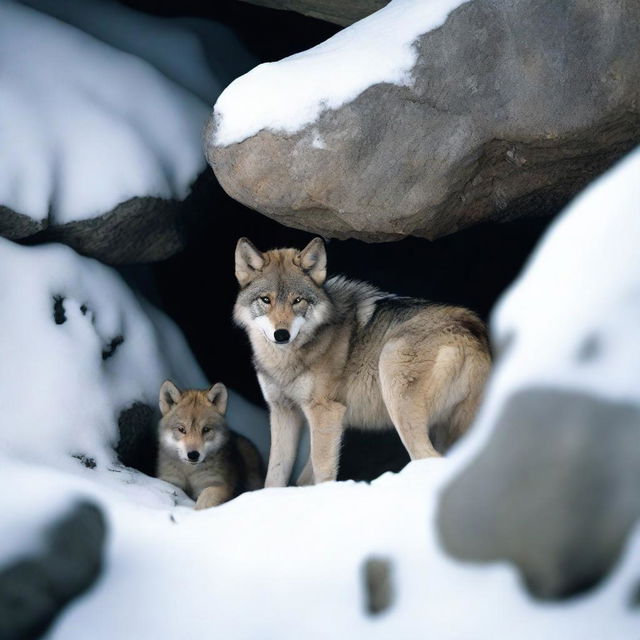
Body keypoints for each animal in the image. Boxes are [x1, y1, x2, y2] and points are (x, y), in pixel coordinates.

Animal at [232, 238, 492, 488]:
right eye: (266, 300)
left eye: (297, 301)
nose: (281, 334)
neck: (286, 360)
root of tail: (472, 330)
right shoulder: (283, 411)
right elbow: (276, 479)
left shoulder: (326, 411)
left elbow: (322, 470)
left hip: (392, 373)